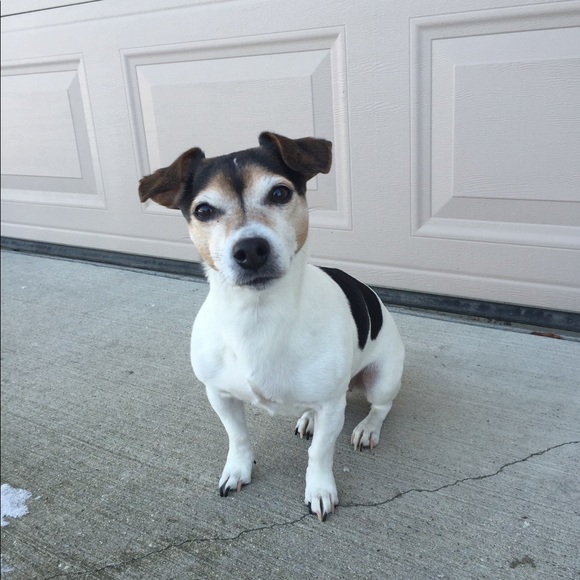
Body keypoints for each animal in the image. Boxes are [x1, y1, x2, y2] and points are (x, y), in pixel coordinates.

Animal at [139, 132, 405, 521]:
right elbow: (237, 437)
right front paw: (238, 469)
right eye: (204, 211)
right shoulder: (219, 395)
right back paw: (307, 419)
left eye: (279, 193)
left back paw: (367, 428)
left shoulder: (332, 406)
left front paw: (319, 489)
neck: (258, 315)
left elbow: (320, 453)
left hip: (382, 378)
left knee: (381, 407)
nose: (250, 249)